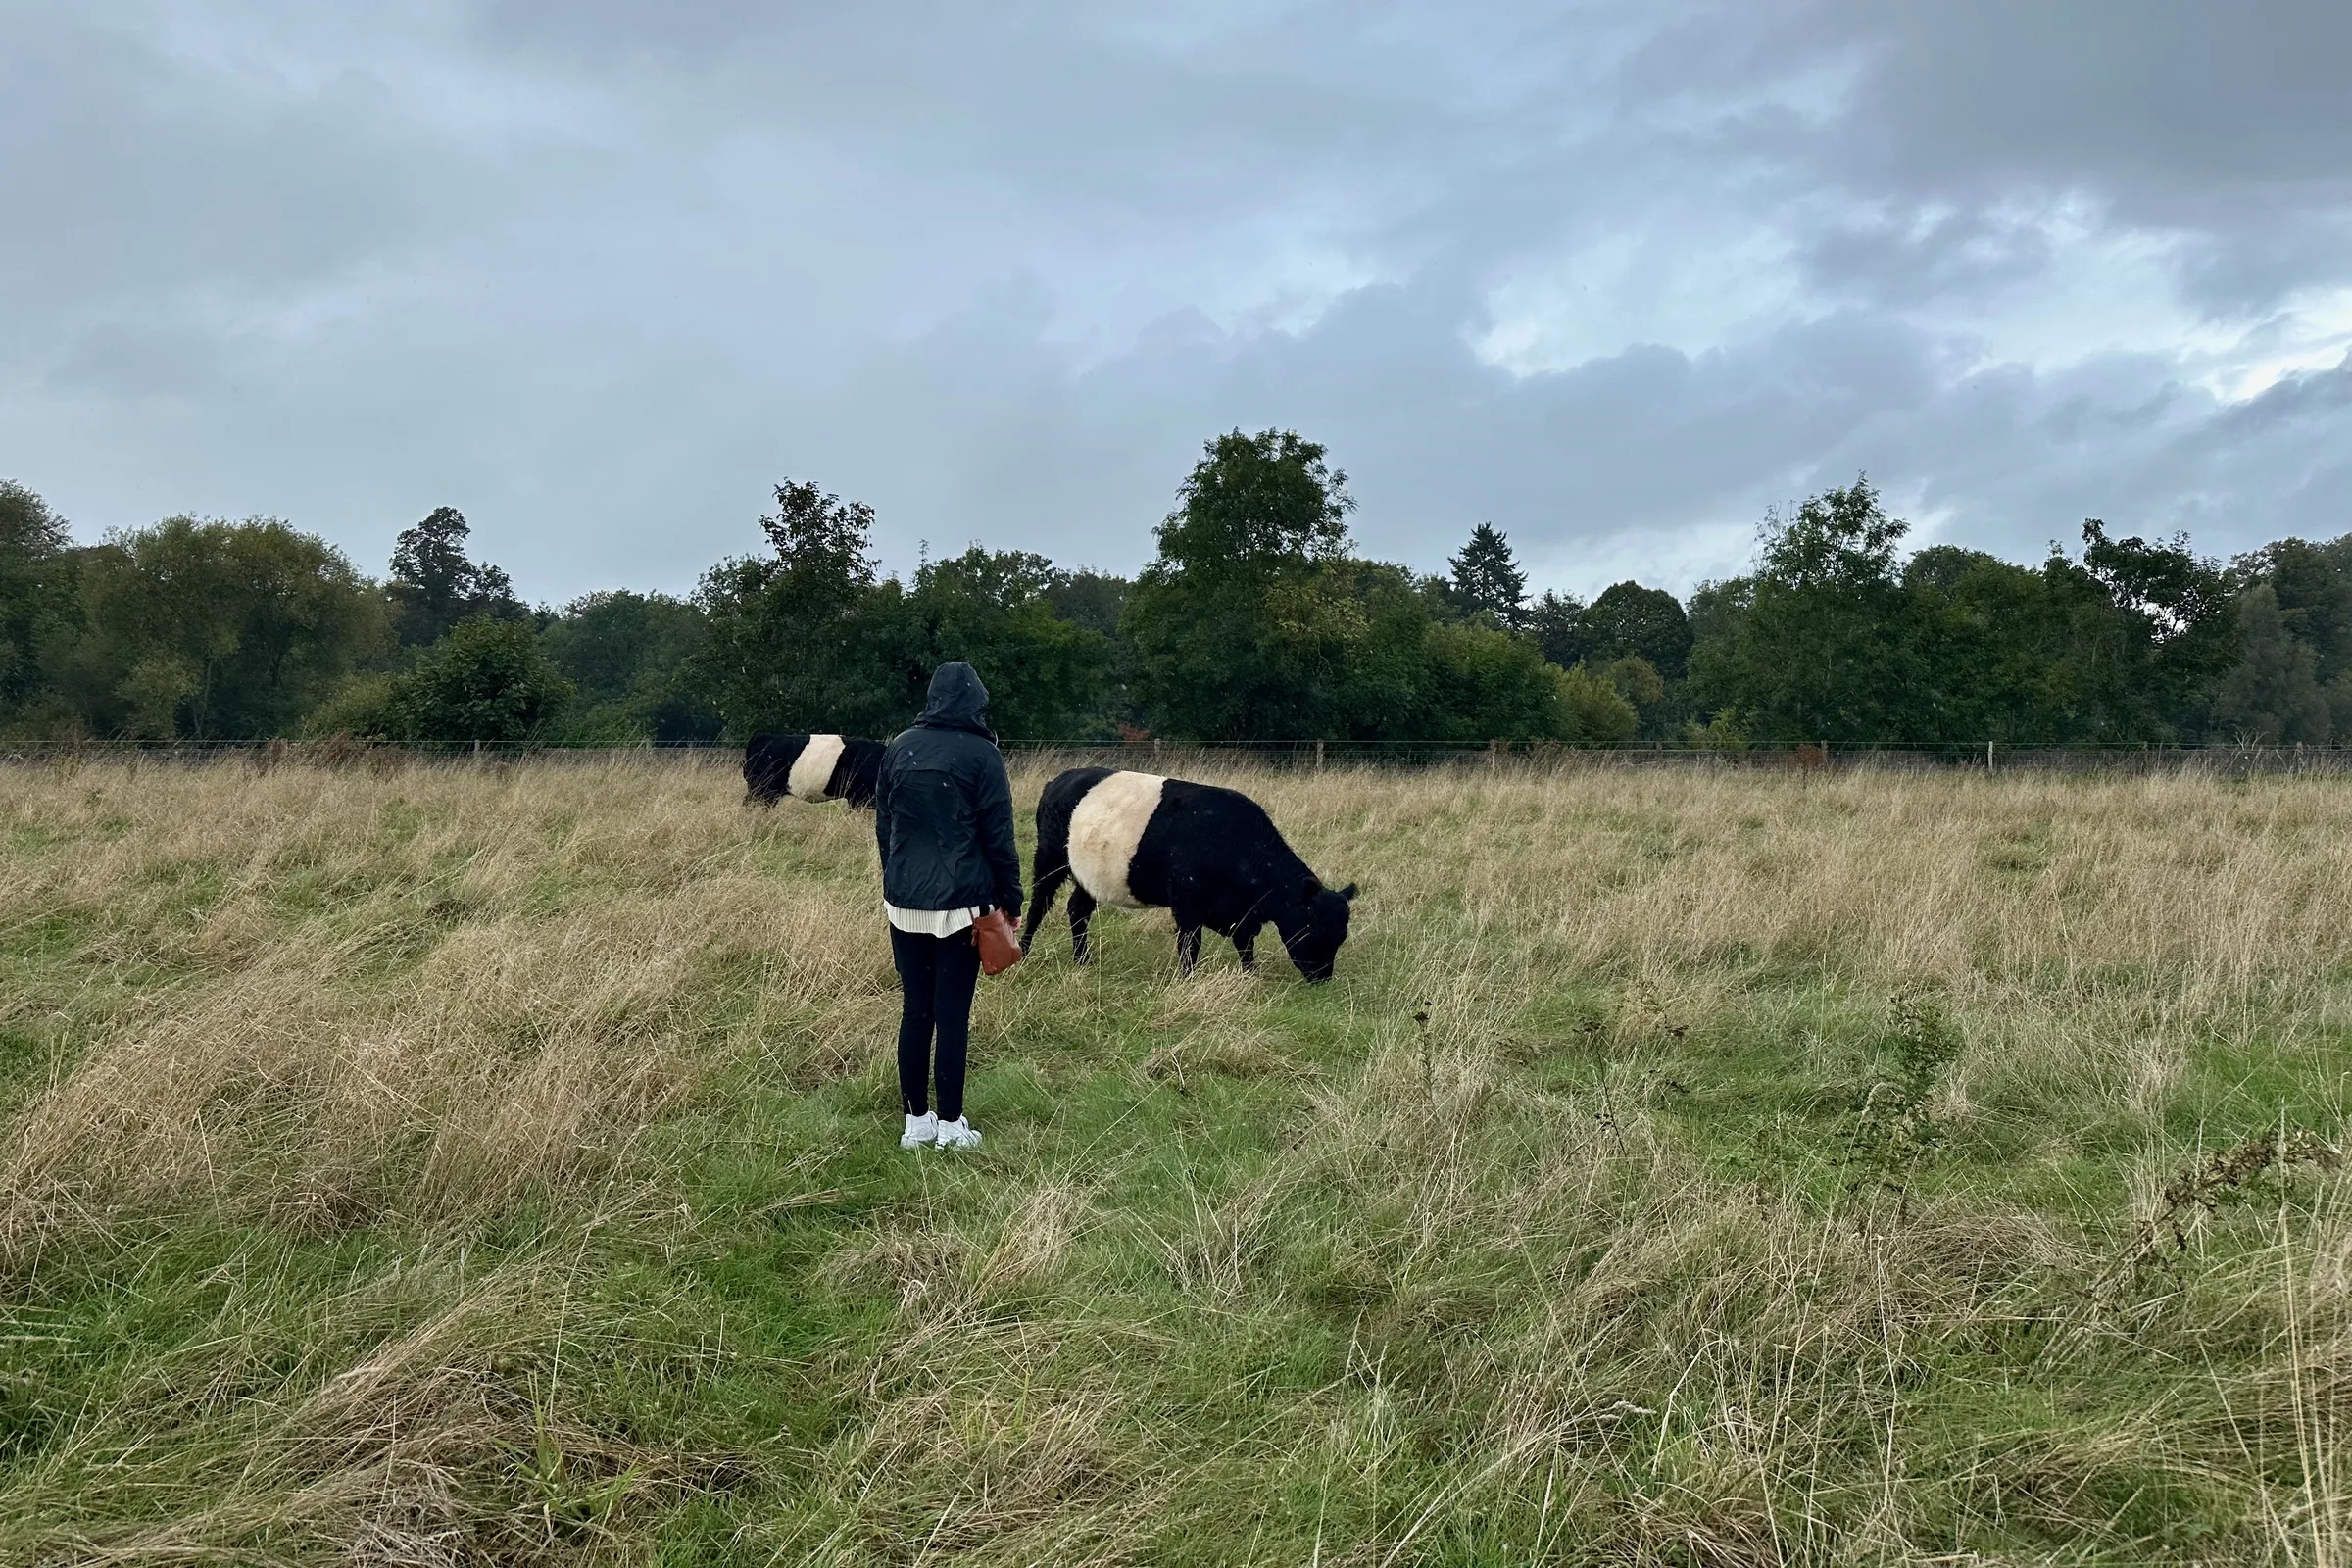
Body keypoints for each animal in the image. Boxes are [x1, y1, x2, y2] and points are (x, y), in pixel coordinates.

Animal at [1021, 767, 1357, 981]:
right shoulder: (1187, 902)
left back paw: (1082, 960)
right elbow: (1190, 945)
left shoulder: (1241, 914)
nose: (1322, 976)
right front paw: (1188, 978)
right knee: (1039, 904)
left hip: (1087, 875)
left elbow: (1245, 944)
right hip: (1050, 857)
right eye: (1312, 926)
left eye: (1341, 935)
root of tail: (1059, 780)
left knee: (1077, 909)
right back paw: (1023, 951)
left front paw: (1250, 975)